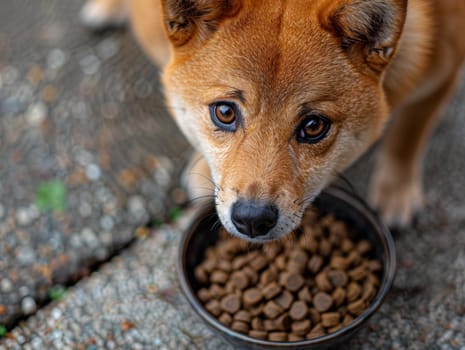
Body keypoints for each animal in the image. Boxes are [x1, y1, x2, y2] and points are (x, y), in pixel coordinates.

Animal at [80, 0, 464, 242]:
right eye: (224, 112)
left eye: (314, 126)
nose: (252, 219)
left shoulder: (443, 74)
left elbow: (408, 136)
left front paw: (395, 192)